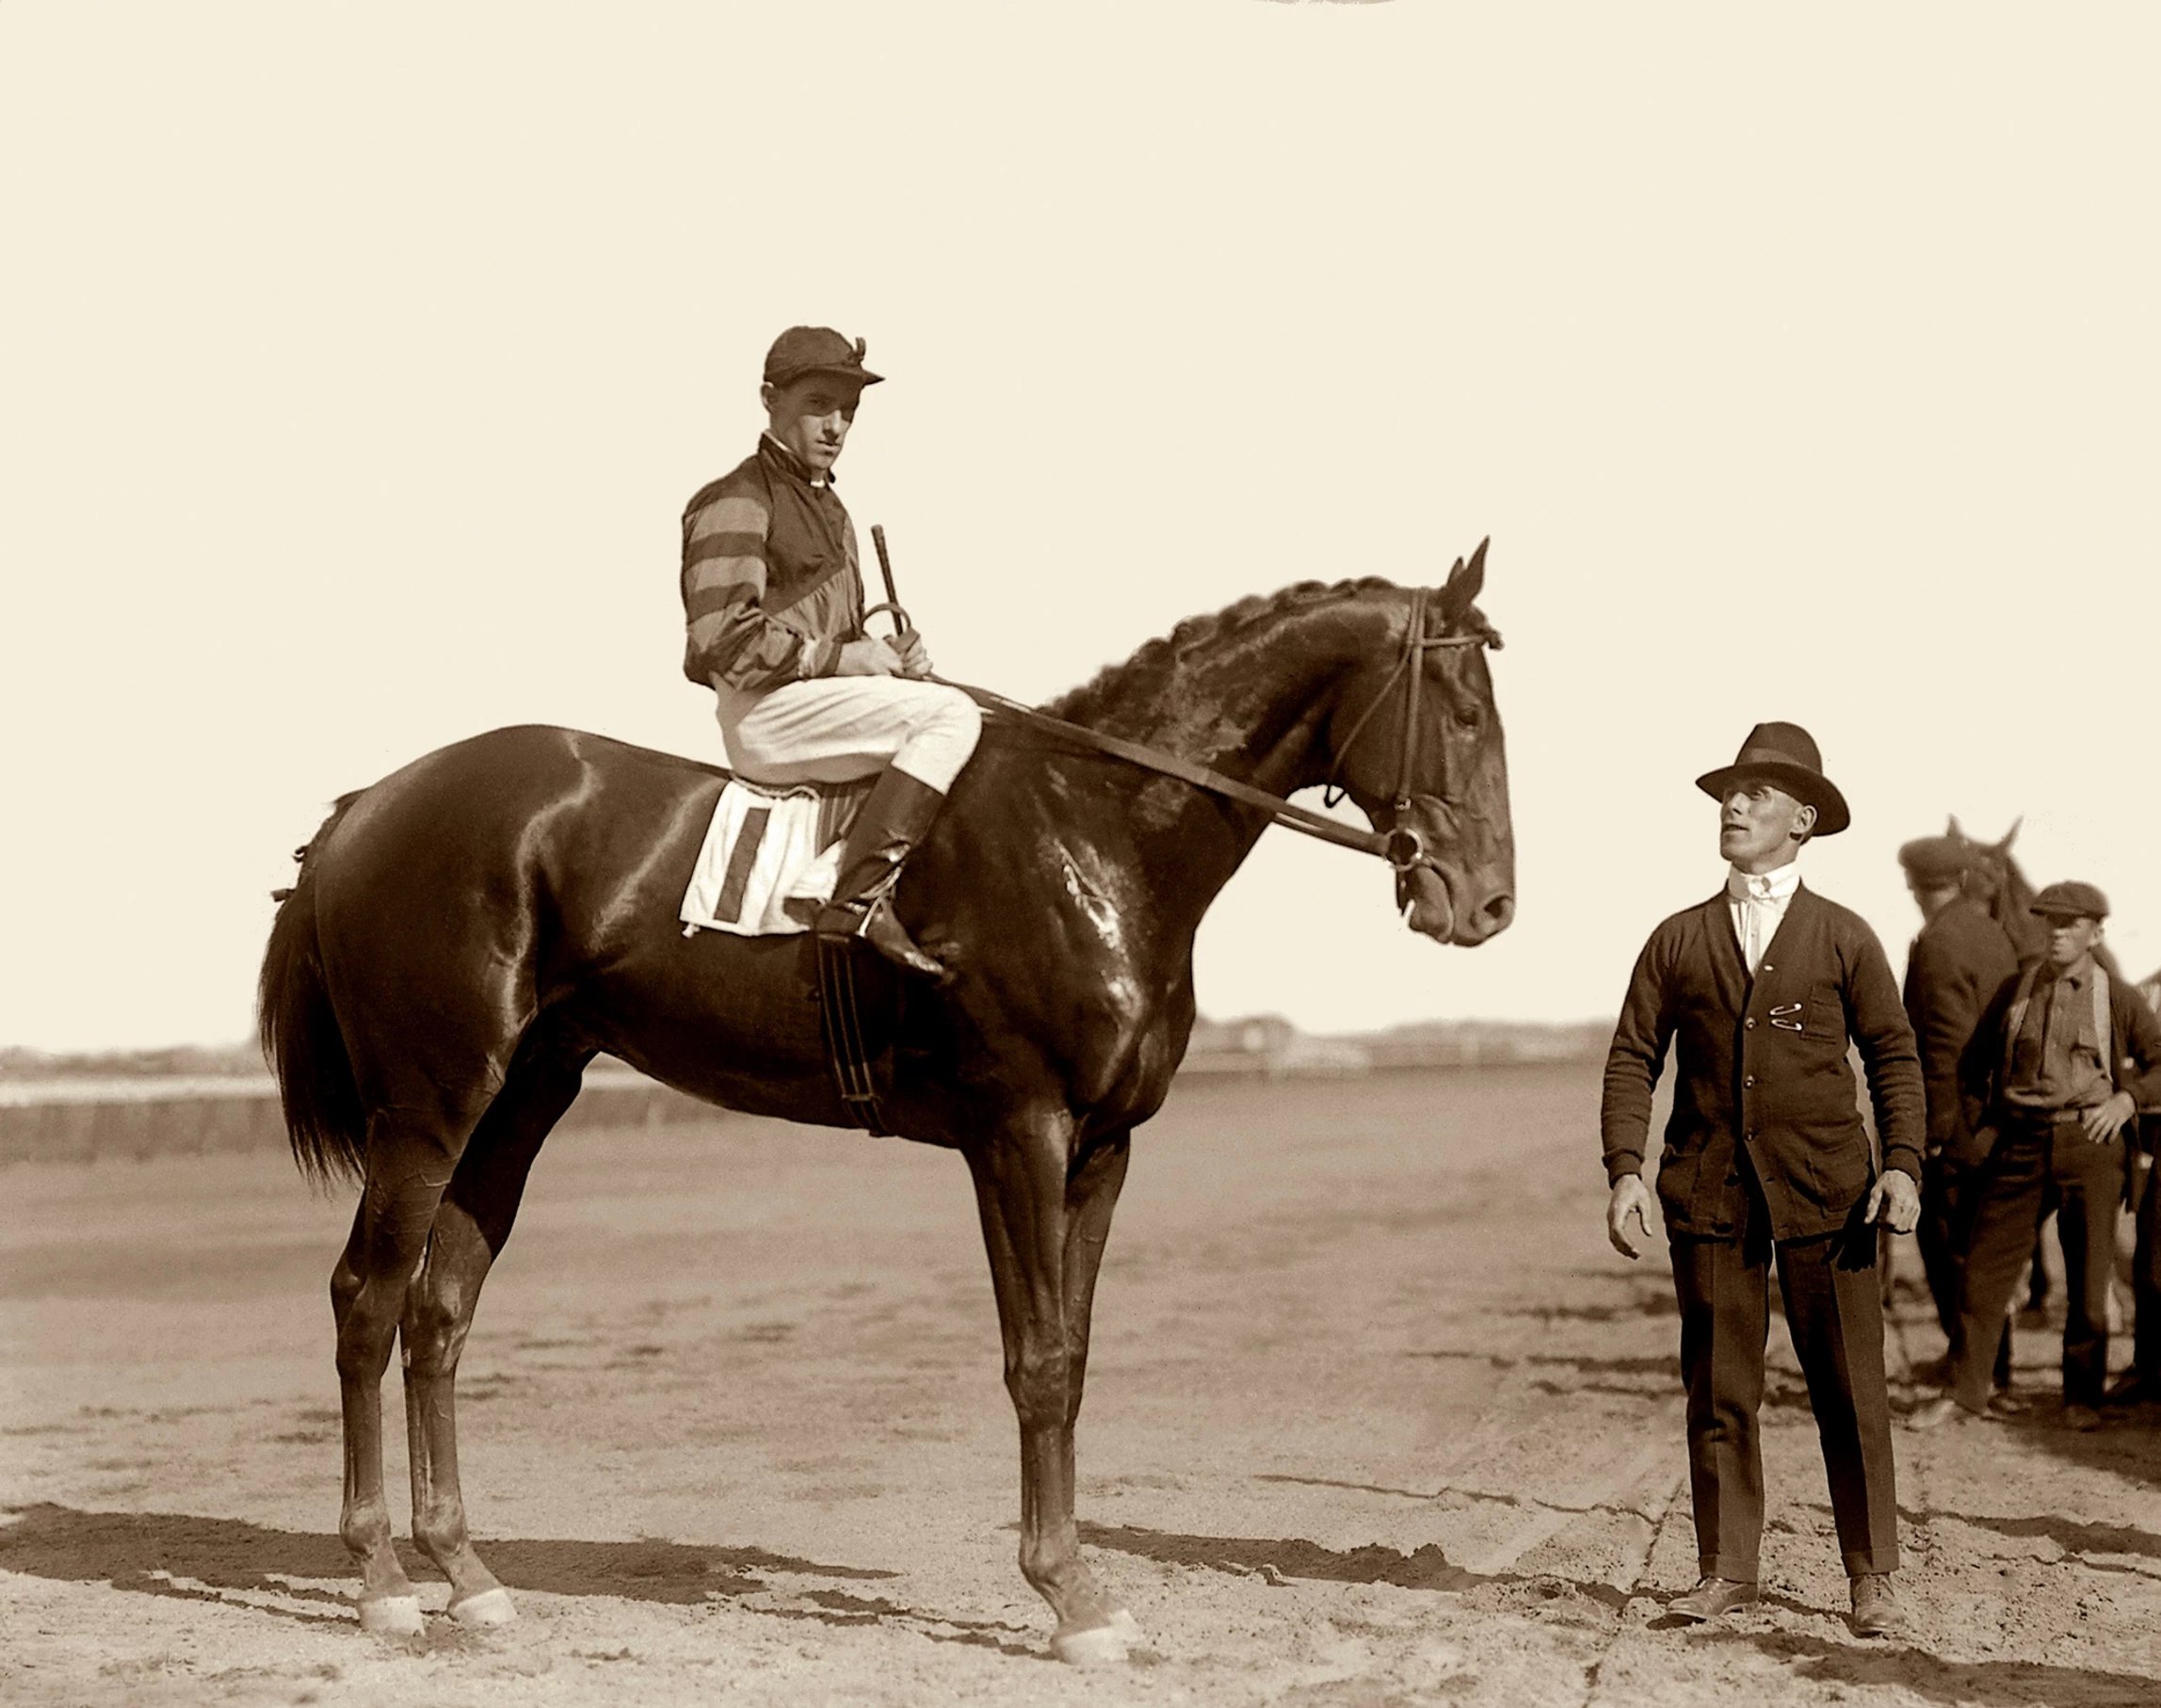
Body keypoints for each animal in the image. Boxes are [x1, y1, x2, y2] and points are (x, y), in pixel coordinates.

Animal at [261, 553, 1512, 1668]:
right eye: (1462, 709)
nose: (1490, 901)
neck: (1090, 831)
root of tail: (369, 802)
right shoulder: (1019, 1129)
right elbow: (1038, 1360)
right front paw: (1069, 1597)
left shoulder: (1104, 1147)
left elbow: (1076, 1354)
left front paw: (1079, 1583)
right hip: (428, 1106)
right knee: (366, 1300)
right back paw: (382, 1579)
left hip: (520, 1102)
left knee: (439, 1311)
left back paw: (466, 1573)